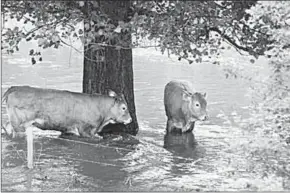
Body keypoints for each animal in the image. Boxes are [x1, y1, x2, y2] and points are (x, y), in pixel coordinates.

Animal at [1, 85, 131, 137]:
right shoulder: (84, 130)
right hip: (19, 122)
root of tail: (14, 88)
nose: (130, 119)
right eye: (124, 107)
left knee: (6, 125)